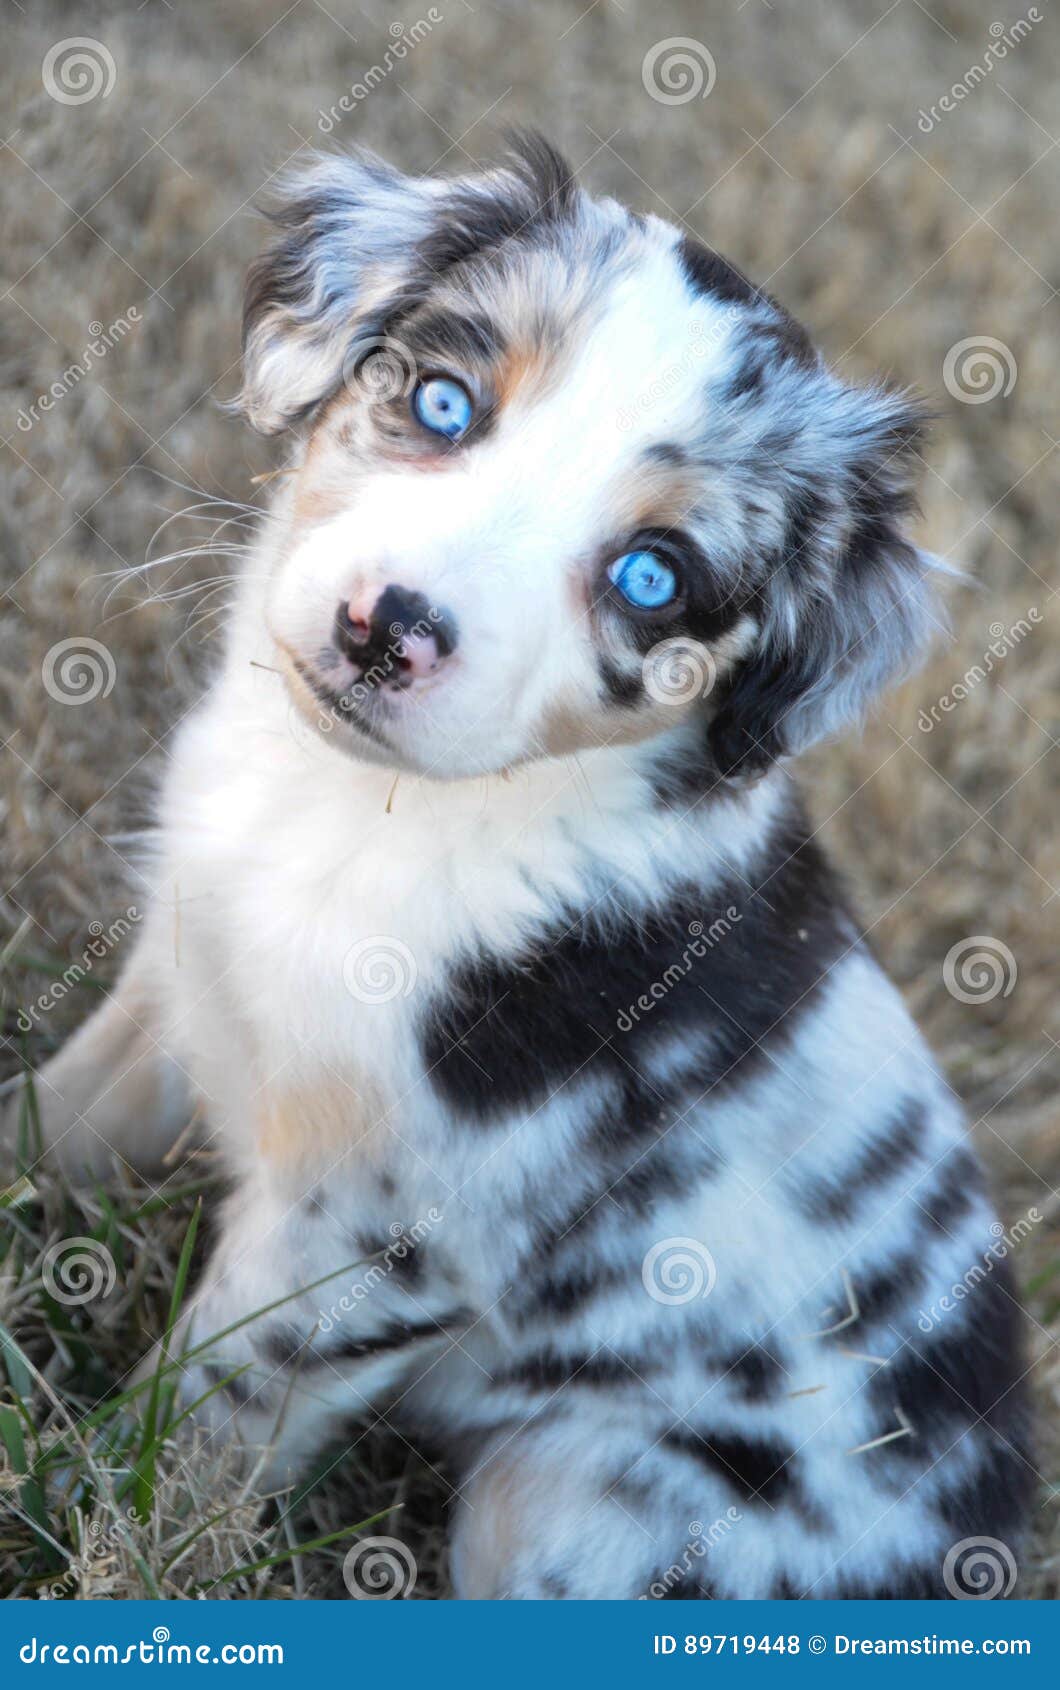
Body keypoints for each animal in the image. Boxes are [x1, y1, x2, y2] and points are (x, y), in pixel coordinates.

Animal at [8, 131, 1034, 1595]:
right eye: (442, 403)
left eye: (652, 577)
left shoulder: (372, 1235)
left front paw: (95, 1515)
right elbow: (52, 1118)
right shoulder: (170, 976)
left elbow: (209, 1414)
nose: (388, 631)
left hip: (566, 1497)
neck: (371, 811)